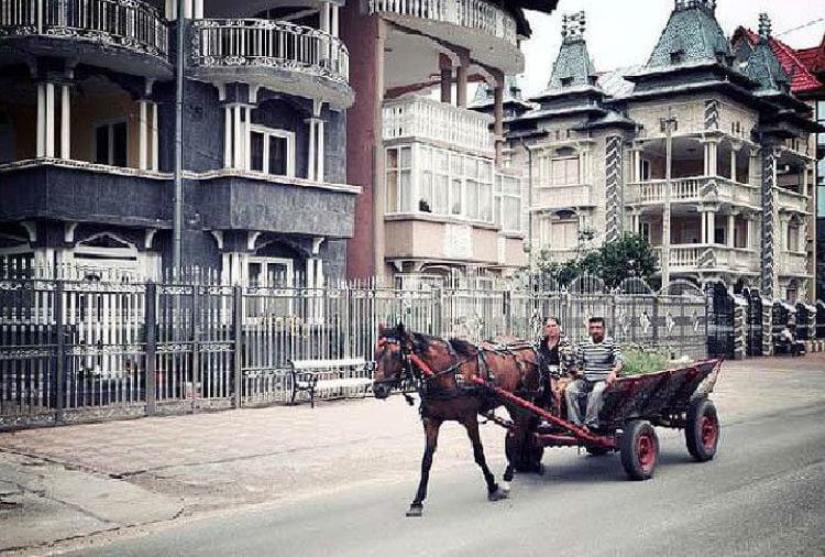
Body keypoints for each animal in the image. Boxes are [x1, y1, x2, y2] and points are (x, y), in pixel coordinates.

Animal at [372, 322, 540, 516]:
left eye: (395, 353)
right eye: (376, 352)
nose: (378, 389)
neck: (446, 373)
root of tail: (528, 346)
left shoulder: (469, 418)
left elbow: (479, 453)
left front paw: (492, 487)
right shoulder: (432, 420)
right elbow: (426, 460)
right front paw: (417, 501)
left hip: (521, 399)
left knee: (520, 432)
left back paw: (507, 478)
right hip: (511, 401)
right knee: (521, 430)